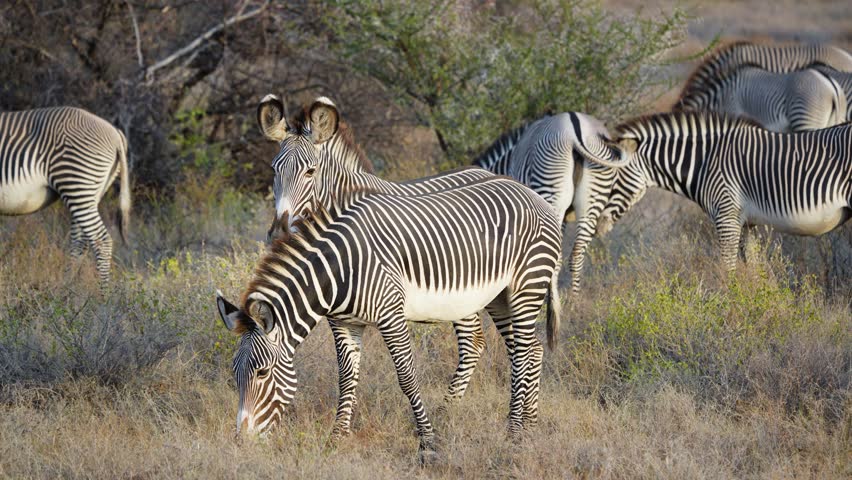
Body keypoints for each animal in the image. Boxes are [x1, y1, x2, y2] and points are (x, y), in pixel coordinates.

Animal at [0, 107, 131, 285]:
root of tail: (116, 133)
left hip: (77, 184)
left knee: (101, 241)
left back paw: (104, 292)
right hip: (89, 192)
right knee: (79, 242)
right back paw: (67, 288)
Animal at [216, 177, 562, 461]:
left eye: (262, 373)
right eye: (234, 373)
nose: (242, 443)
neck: (339, 271)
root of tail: (535, 196)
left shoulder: (390, 315)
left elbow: (407, 378)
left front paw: (428, 443)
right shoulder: (344, 322)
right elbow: (347, 379)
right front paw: (335, 440)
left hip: (526, 285)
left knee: (522, 353)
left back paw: (513, 432)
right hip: (499, 296)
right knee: (531, 349)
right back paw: (529, 426)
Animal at [258, 95, 497, 407]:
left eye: (310, 172)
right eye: (274, 170)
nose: (279, 233)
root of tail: (483, 170)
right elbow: (348, 368)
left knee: (472, 343)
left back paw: (448, 410)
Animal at [595, 111, 851, 271]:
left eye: (611, 177)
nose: (597, 227)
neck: (705, 163)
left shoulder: (727, 217)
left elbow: (727, 269)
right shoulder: (747, 223)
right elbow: (754, 268)